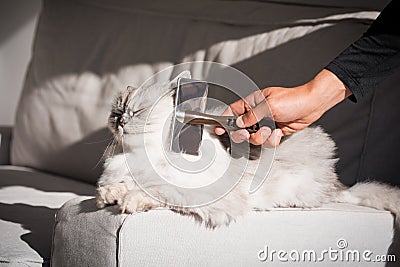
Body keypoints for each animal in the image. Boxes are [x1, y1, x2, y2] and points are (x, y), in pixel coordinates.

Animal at [96, 71, 400, 228]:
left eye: (136, 112)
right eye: (116, 111)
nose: (120, 120)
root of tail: (337, 186)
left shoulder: (195, 193)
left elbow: (155, 192)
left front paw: (127, 202)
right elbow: (119, 185)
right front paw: (108, 196)